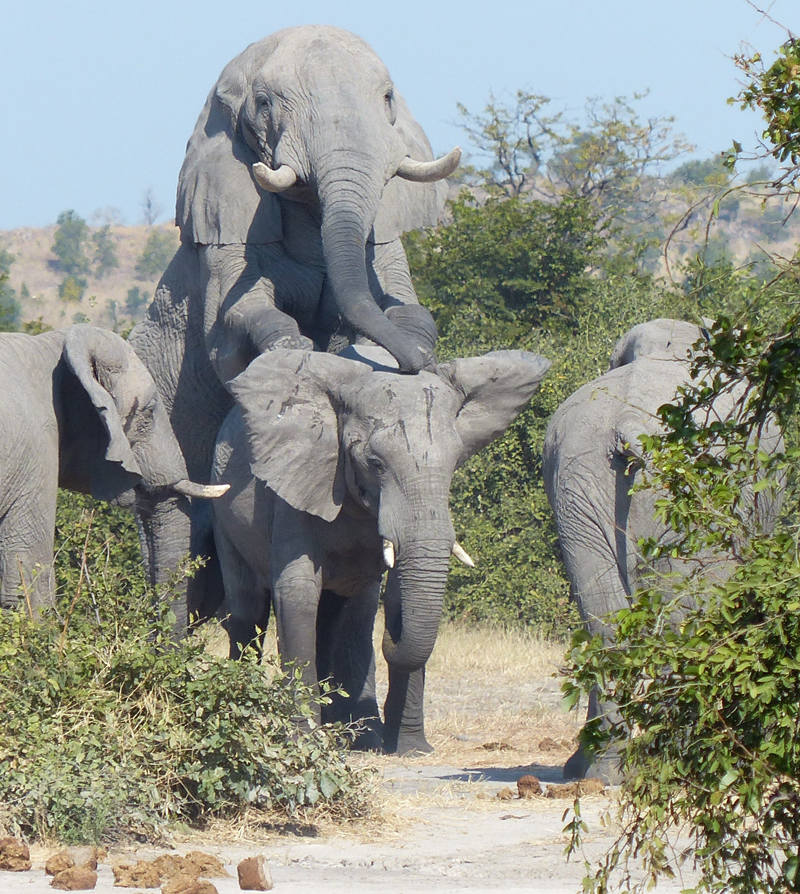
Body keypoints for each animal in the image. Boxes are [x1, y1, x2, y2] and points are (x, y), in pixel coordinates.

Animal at [129, 26, 460, 632]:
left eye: (388, 100)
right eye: (263, 105)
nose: (414, 368)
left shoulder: (385, 236)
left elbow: (409, 308)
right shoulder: (228, 223)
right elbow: (233, 328)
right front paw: (293, 353)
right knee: (176, 546)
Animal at [209, 346, 552, 752]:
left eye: (456, 462)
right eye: (374, 463)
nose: (392, 632)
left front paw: (411, 749)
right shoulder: (299, 486)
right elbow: (297, 595)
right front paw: (304, 743)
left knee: (342, 614)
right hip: (223, 512)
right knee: (248, 608)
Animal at [540, 318, 784, 780]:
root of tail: (628, 425)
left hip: (578, 484)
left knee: (605, 620)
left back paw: (603, 769)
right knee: (683, 624)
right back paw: (680, 759)